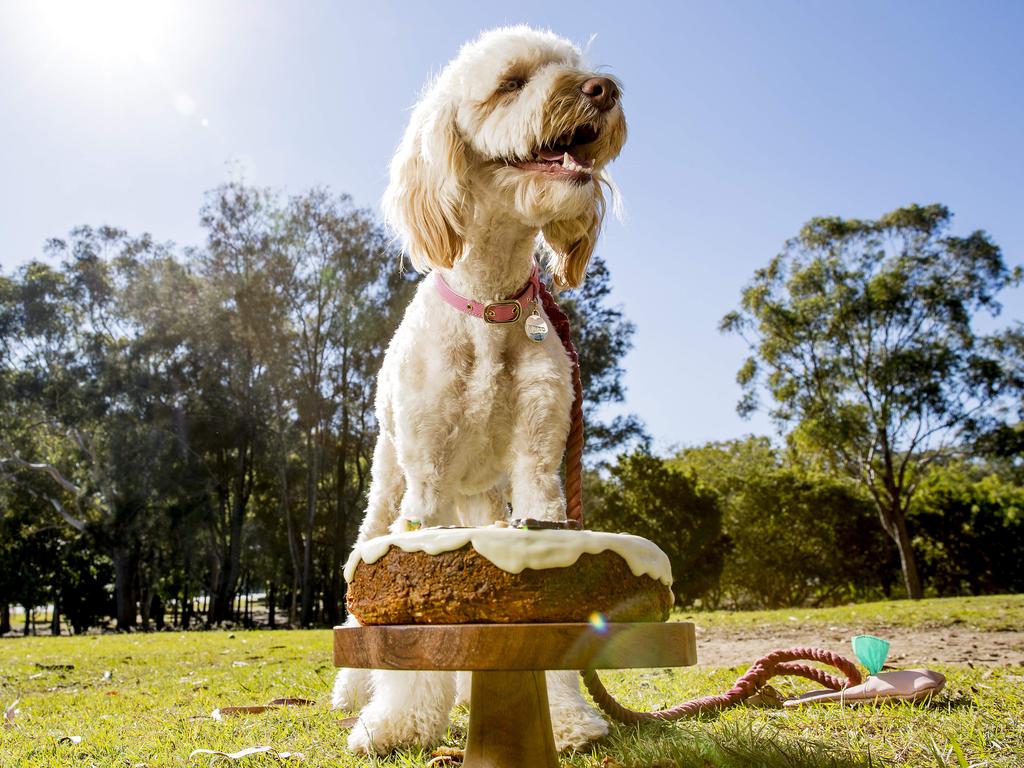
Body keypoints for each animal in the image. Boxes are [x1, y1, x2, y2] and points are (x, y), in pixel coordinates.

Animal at [331, 25, 626, 757]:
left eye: (574, 67)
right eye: (512, 82)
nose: (604, 89)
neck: (491, 301)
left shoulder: (539, 467)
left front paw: (568, 717)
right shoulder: (427, 479)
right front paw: (399, 722)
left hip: (485, 498)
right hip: (388, 484)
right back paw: (352, 692)